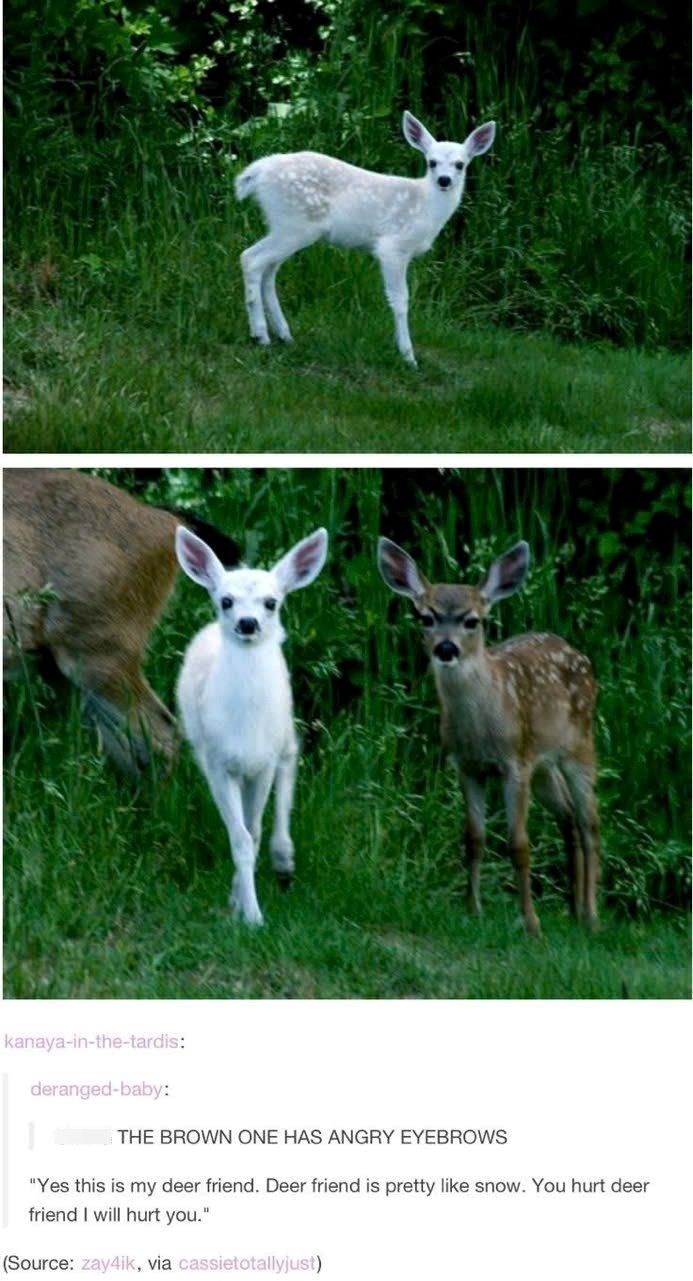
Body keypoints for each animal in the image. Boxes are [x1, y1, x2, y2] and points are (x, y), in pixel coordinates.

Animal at [175, 524, 328, 926]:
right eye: (226, 600)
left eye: (271, 602)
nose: (248, 623)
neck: (245, 726)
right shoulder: (218, 763)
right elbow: (240, 837)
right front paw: (249, 912)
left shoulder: (263, 763)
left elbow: (254, 832)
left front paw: (249, 908)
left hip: (284, 730)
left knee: (291, 765)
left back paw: (284, 857)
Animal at [235, 111, 495, 367]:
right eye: (431, 162)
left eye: (460, 164)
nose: (444, 180)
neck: (425, 207)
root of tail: (259, 171)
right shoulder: (392, 247)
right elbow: (400, 300)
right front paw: (408, 356)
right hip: (296, 224)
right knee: (251, 258)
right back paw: (260, 335)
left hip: (284, 225)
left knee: (268, 270)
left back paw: (283, 334)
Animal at [378, 537, 600, 936]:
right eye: (426, 618)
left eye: (472, 621)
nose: (446, 649)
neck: (481, 730)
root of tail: (579, 654)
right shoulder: (468, 767)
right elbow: (474, 839)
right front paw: (473, 909)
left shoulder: (515, 764)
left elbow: (519, 845)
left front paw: (531, 923)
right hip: (543, 764)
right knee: (569, 817)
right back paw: (573, 911)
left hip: (579, 745)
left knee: (590, 821)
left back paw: (591, 917)